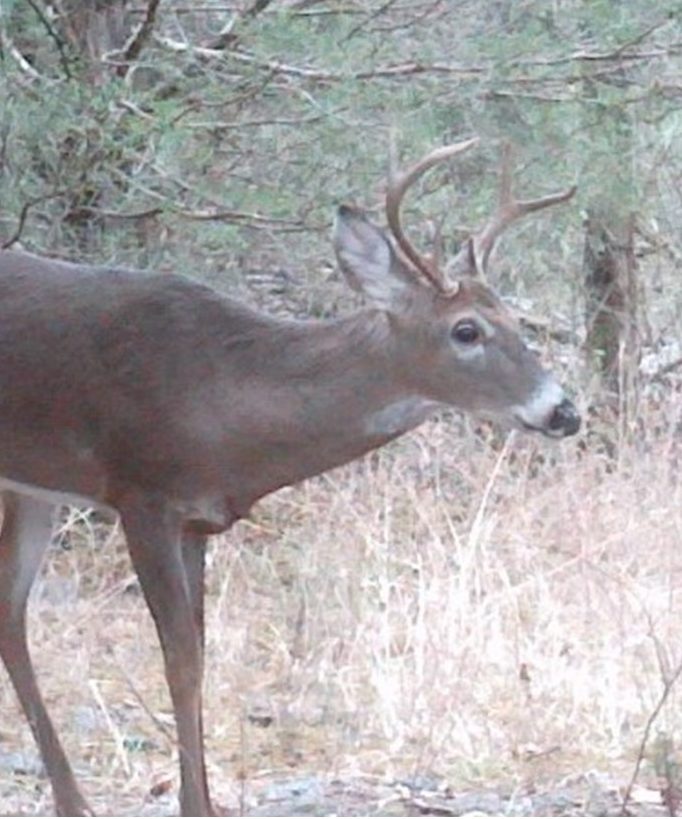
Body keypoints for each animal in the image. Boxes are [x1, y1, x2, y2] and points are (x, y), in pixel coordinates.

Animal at [0, 138, 576, 816]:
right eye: (466, 330)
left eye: (514, 318)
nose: (563, 411)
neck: (220, 398)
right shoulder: (141, 493)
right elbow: (180, 661)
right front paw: (196, 804)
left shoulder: (196, 520)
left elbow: (199, 652)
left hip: (33, 485)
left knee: (9, 612)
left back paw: (73, 800)